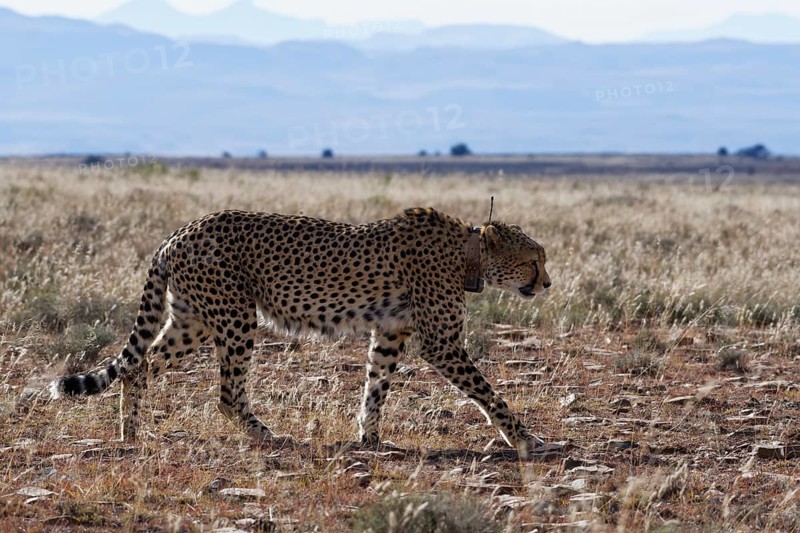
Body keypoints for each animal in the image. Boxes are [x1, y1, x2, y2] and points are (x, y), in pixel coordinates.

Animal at [51, 207, 551, 456]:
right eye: (534, 259)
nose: (547, 283)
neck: (468, 253)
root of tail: (179, 232)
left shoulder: (390, 332)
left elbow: (375, 386)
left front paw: (370, 438)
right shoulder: (441, 343)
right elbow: (488, 393)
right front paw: (524, 438)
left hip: (193, 319)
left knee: (139, 367)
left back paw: (131, 433)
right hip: (236, 316)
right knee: (226, 394)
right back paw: (265, 435)